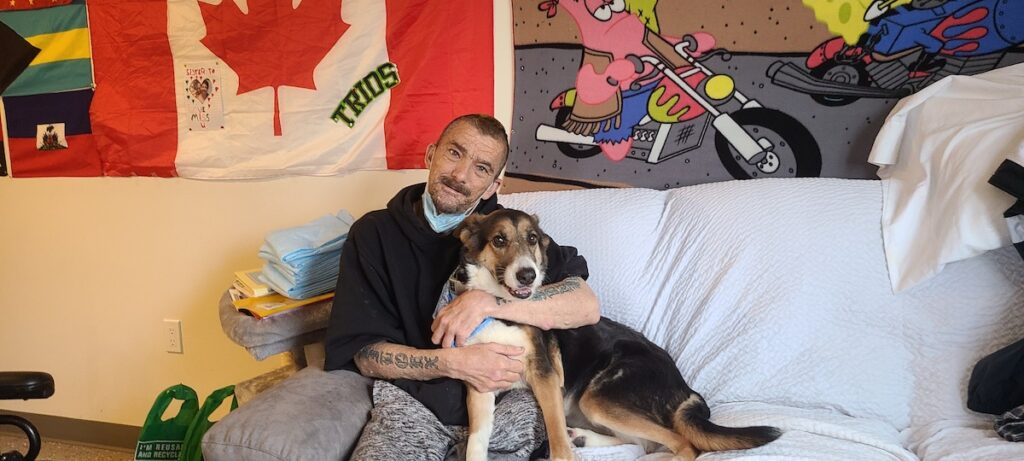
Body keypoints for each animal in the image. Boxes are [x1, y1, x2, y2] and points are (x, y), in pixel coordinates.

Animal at [452, 210, 778, 461]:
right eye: (499, 240)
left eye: (532, 239)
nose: (528, 276)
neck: (501, 310)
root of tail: (686, 388)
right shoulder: (481, 386)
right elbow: (477, 440)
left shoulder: (545, 377)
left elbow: (556, 439)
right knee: (641, 443)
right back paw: (582, 436)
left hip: (599, 397)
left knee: (679, 444)